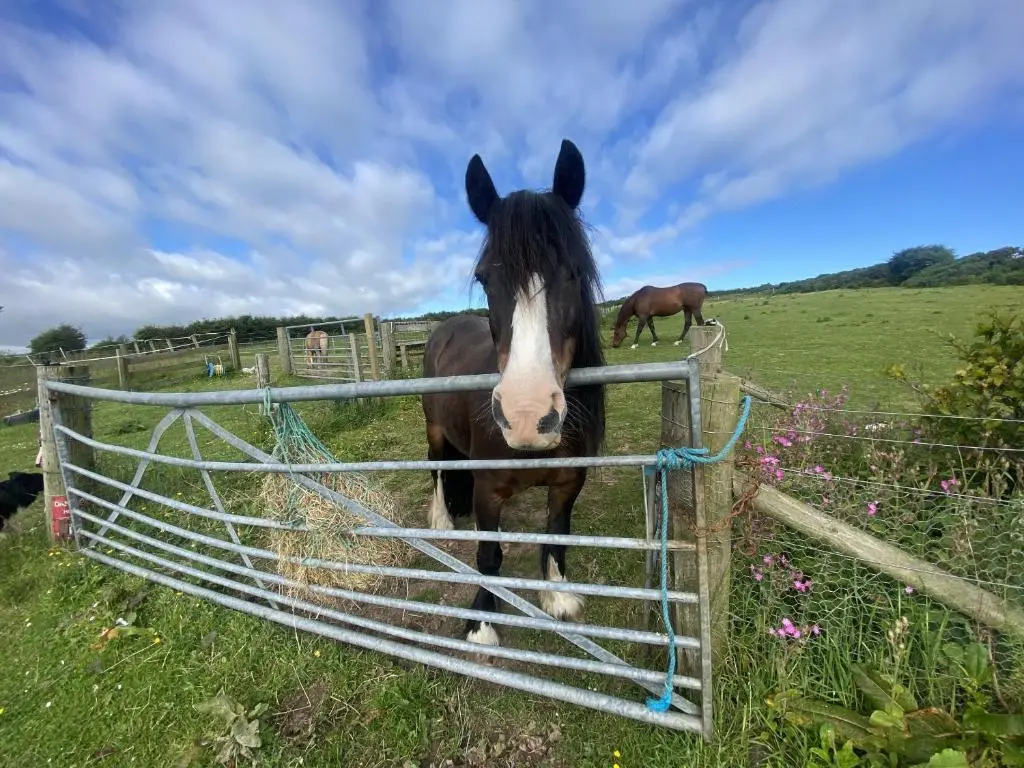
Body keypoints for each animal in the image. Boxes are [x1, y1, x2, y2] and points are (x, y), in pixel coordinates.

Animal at [420, 138, 605, 652]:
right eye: (485, 278)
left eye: (575, 272)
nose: (527, 416)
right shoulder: (487, 491)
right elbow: (489, 556)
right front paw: (482, 623)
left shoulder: (568, 484)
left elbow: (557, 535)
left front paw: (558, 598)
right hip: (435, 429)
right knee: (437, 467)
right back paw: (442, 520)